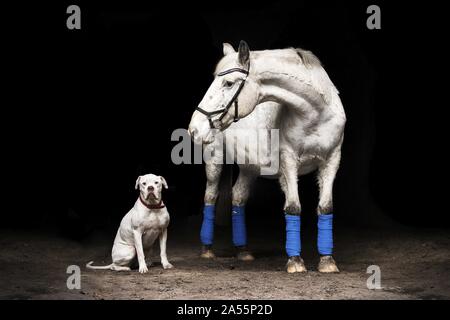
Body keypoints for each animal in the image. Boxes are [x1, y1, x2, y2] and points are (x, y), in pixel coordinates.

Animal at [188, 42, 346, 272]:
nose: (194, 129)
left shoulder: (332, 161)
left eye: (228, 83)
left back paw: (243, 251)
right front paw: (295, 261)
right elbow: (293, 207)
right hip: (214, 162)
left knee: (238, 197)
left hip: (249, 168)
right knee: (210, 196)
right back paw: (207, 249)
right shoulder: (289, 162)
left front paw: (327, 261)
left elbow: (326, 207)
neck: (316, 114)